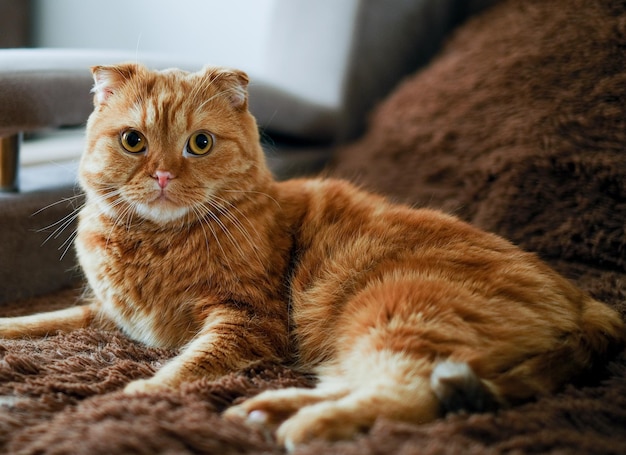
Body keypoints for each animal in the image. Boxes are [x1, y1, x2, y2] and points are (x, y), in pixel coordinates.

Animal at [0, 63, 620, 448]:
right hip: (357, 339)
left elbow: (187, 366)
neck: (155, 243)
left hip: (398, 313)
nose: (162, 175)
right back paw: (265, 410)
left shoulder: (247, 322)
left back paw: (301, 425)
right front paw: (13, 328)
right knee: (361, 382)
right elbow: (46, 318)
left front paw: (143, 391)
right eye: (134, 141)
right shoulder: (106, 316)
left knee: (410, 395)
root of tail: (587, 299)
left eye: (200, 143)